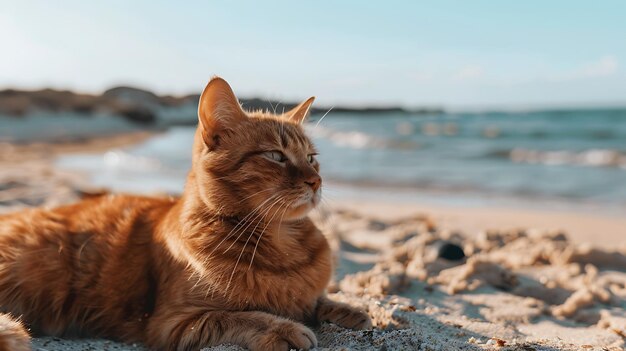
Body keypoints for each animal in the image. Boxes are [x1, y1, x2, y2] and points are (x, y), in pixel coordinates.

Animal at [0, 77, 370, 351]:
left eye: (311, 158)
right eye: (276, 156)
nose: (316, 181)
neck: (282, 242)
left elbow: (318, 299)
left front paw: (354, 311)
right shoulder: (174, 323)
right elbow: (240, 316)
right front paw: (284, 329)